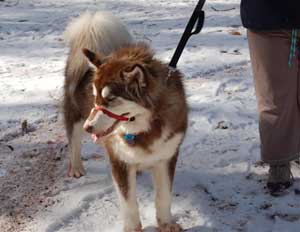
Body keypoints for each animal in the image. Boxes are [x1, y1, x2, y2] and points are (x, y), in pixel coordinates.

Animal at [63, 11, 188, 232]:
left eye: (111, 99)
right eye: (95, 97)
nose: (89, 127)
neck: (146, 127)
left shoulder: (167, 155)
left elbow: (164, 196)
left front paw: (166, 223)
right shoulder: (118, 159)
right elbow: (129, 202)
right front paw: (133, 227)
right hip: (75, 113)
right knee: (74, 141)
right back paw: (76, 167)